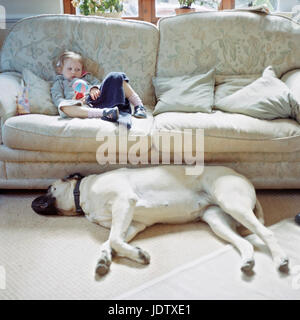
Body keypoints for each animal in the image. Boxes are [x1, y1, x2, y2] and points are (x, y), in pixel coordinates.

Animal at [31, 165, 290, 276]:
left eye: (49, 188)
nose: (32, 202)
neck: (82, 194)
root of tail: (244, 178)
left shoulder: (123, 202)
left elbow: (113, 240)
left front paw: (137, 255)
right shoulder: (131, 224)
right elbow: (110, 242)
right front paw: (106, 258)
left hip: (232, 203)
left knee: (267, 233)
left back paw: (281, 259)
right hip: (217, 220)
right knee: (245, 243)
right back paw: (247, 261)